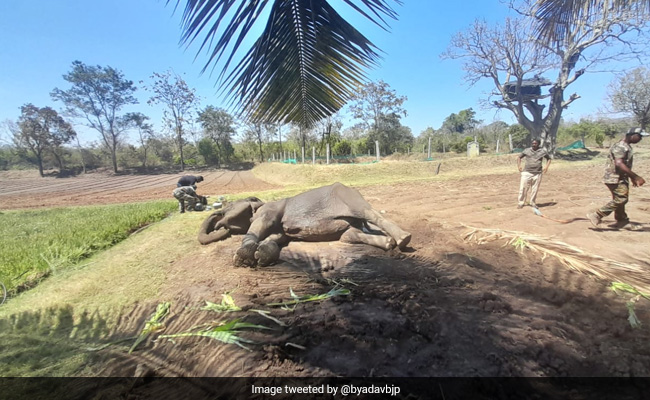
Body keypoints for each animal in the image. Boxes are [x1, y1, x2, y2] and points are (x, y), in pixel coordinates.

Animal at [198, 183, 411, 267]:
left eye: (226, 208)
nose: (219, 224)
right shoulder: (278, 228)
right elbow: (277, 237)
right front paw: (262, 255)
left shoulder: (270, 211)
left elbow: (261, 225)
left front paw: (243, 258)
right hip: (351, 227)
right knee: (351, 234)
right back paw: (388, 244)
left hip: (349, 196)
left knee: (368, 212)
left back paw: (403, 239)